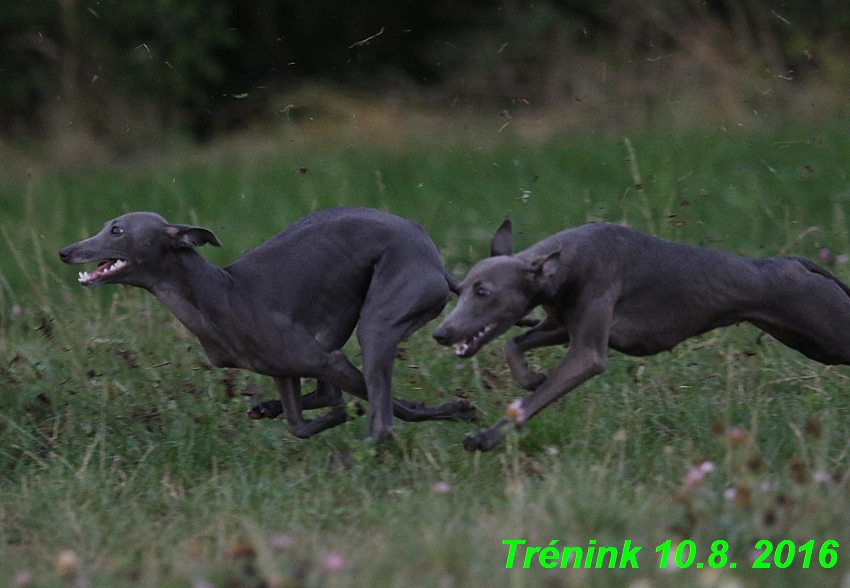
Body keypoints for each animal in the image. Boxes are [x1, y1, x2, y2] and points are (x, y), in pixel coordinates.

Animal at [434, 219, 848, 450]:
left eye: (483, 292)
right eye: (460, 289)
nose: (441, 333)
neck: (564, 262)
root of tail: (797, 263)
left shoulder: (587, 353)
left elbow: (533, 400)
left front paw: (485, 438)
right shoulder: (561, 327)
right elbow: (512, 344)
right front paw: (531, 377)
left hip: (828, 332)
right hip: (807, 340)